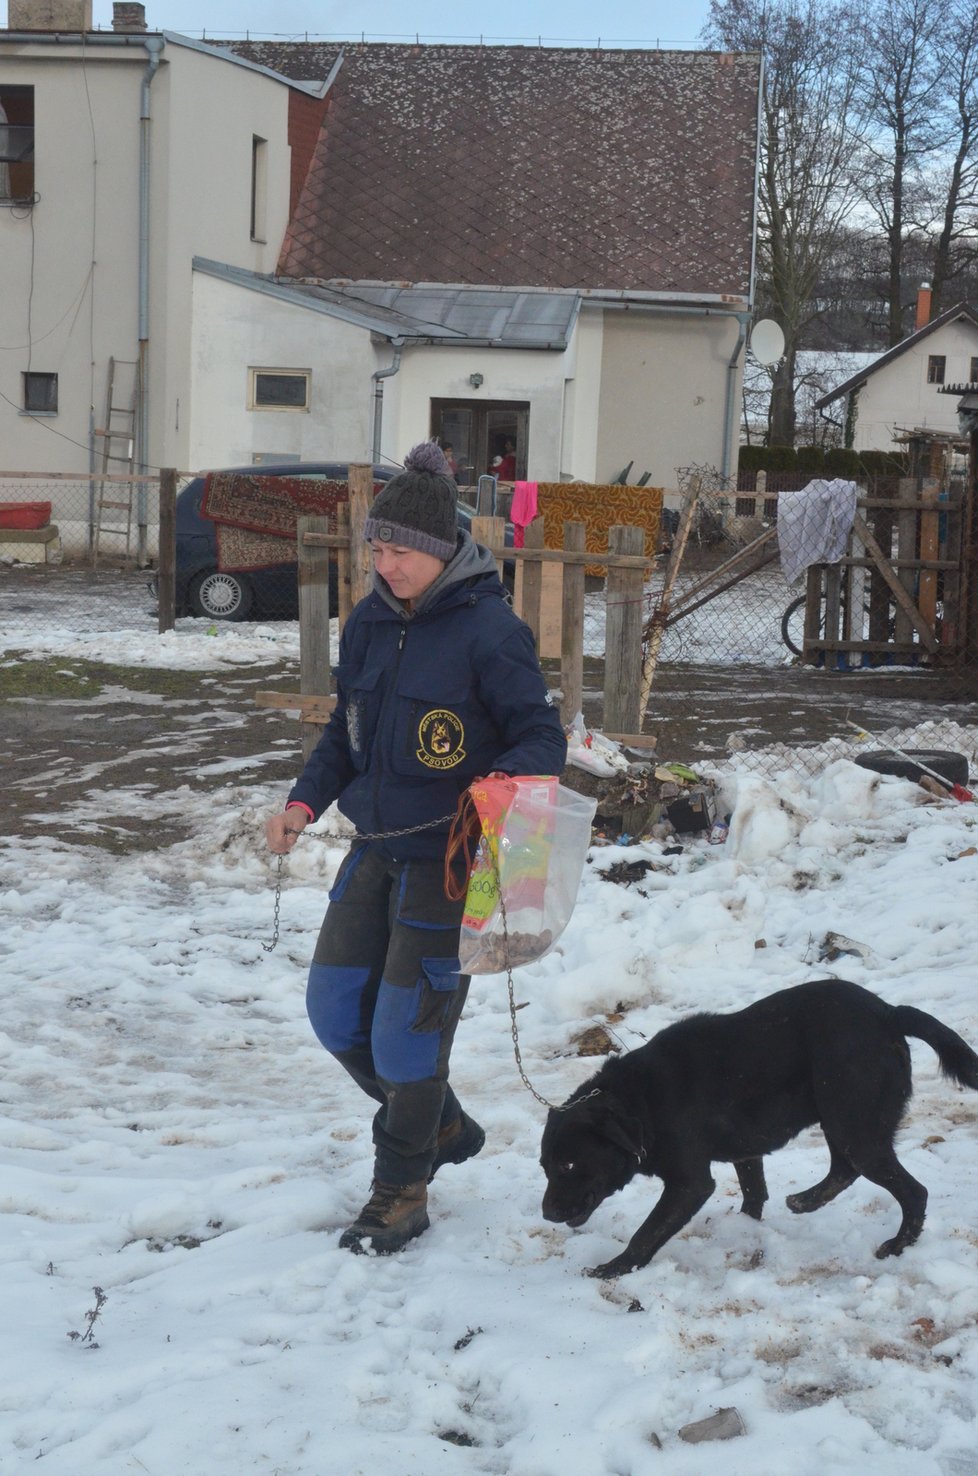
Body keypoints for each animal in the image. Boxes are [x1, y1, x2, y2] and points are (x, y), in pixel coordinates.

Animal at [539, 980, 978, 1281]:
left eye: (570, 1165)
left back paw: (897, 1244)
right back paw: (805, 1200)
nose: (547, 1214)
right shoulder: (745, 1152)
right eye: (545, 1166)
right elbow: (754, 1192)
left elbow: (646, 1233)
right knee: (843, 1170)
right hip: (840, 1118)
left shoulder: (689, 1183)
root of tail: (888, 1011)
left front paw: (615, 1268)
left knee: (912, 1191)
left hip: (854, 1123)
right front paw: (747, 1228)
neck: (639, 1102)